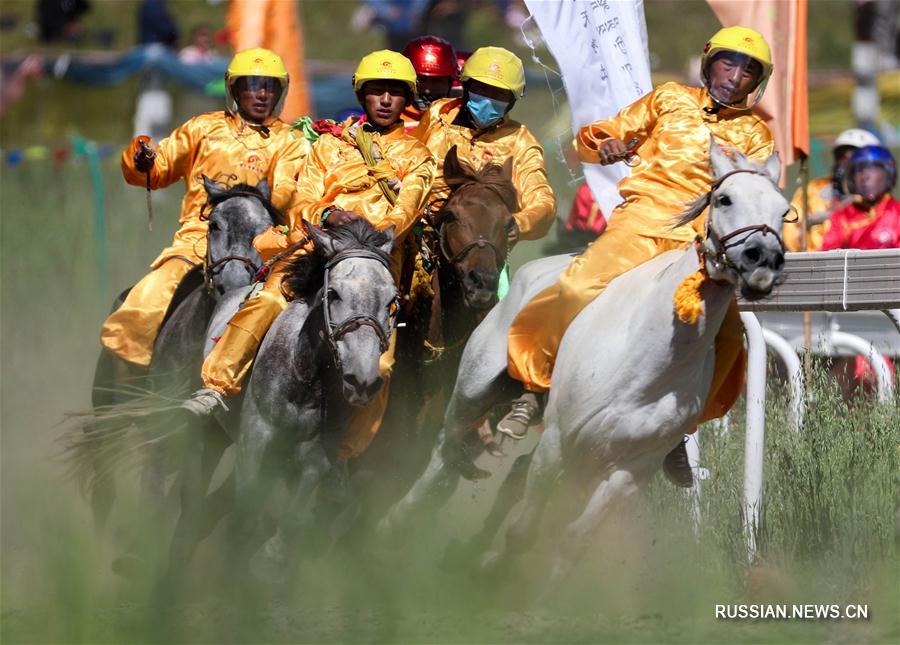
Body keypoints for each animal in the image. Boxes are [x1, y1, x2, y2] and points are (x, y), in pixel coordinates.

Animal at [380, 137, 788, 580]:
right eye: (725, 199)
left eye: (784, 210)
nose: (762, 260)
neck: (650, 361)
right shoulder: (557, 440)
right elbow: (524, 527)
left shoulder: (628, 472)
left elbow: (573, 539)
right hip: (474, 386)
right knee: (445, 449)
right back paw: (398, 520)